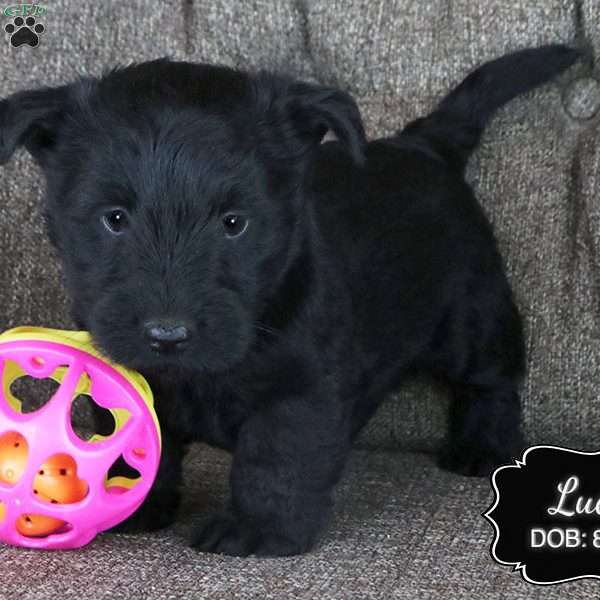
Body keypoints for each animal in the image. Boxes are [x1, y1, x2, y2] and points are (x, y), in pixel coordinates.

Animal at [0, 44, 580, 556]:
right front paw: (133, 501)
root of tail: (424, 145)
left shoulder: (301, 390)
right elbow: (131, 436)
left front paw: (258, 530)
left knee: (493, 380)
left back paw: (480, 446)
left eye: (235, 223)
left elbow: (276, 456)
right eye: (114, 219)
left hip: (472, 314)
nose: (168, 335)